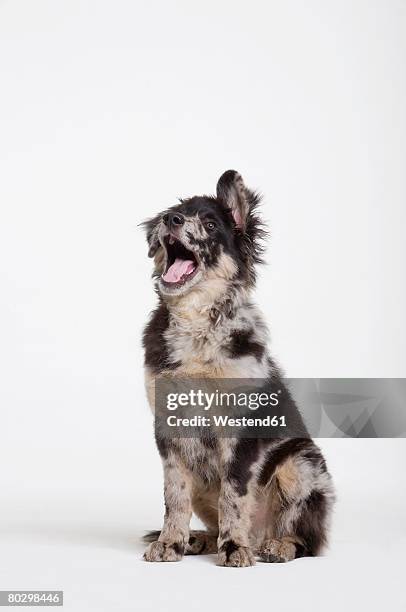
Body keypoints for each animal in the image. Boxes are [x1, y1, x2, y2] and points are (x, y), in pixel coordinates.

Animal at [141, 170, 334, 568]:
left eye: (211, 224)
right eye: (172, 215)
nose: (171, 219)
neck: (196, 326)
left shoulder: (240, 431)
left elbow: (234, 493)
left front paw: (234, 547)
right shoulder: (167, 430)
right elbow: (174, 495)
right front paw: (170, 542)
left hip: (301, 463)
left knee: (308, 540)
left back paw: (274, 546)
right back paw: (198, 539)